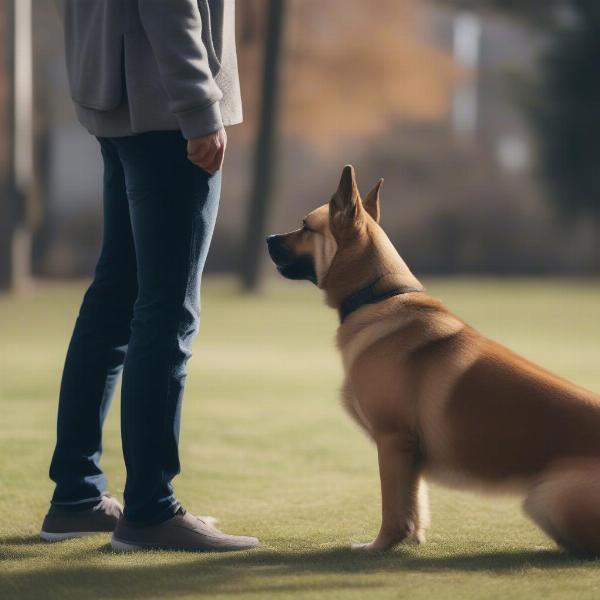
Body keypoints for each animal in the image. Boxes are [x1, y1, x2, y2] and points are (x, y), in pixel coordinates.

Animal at [268, 165, 600, 556]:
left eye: (306, 226)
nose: (268, 238)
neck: (377, 296)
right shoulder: (409, 453)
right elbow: (414, 503)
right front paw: (410, 540)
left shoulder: (393, 441)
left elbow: (393, 508)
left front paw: (378, 547)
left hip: (546, 498)